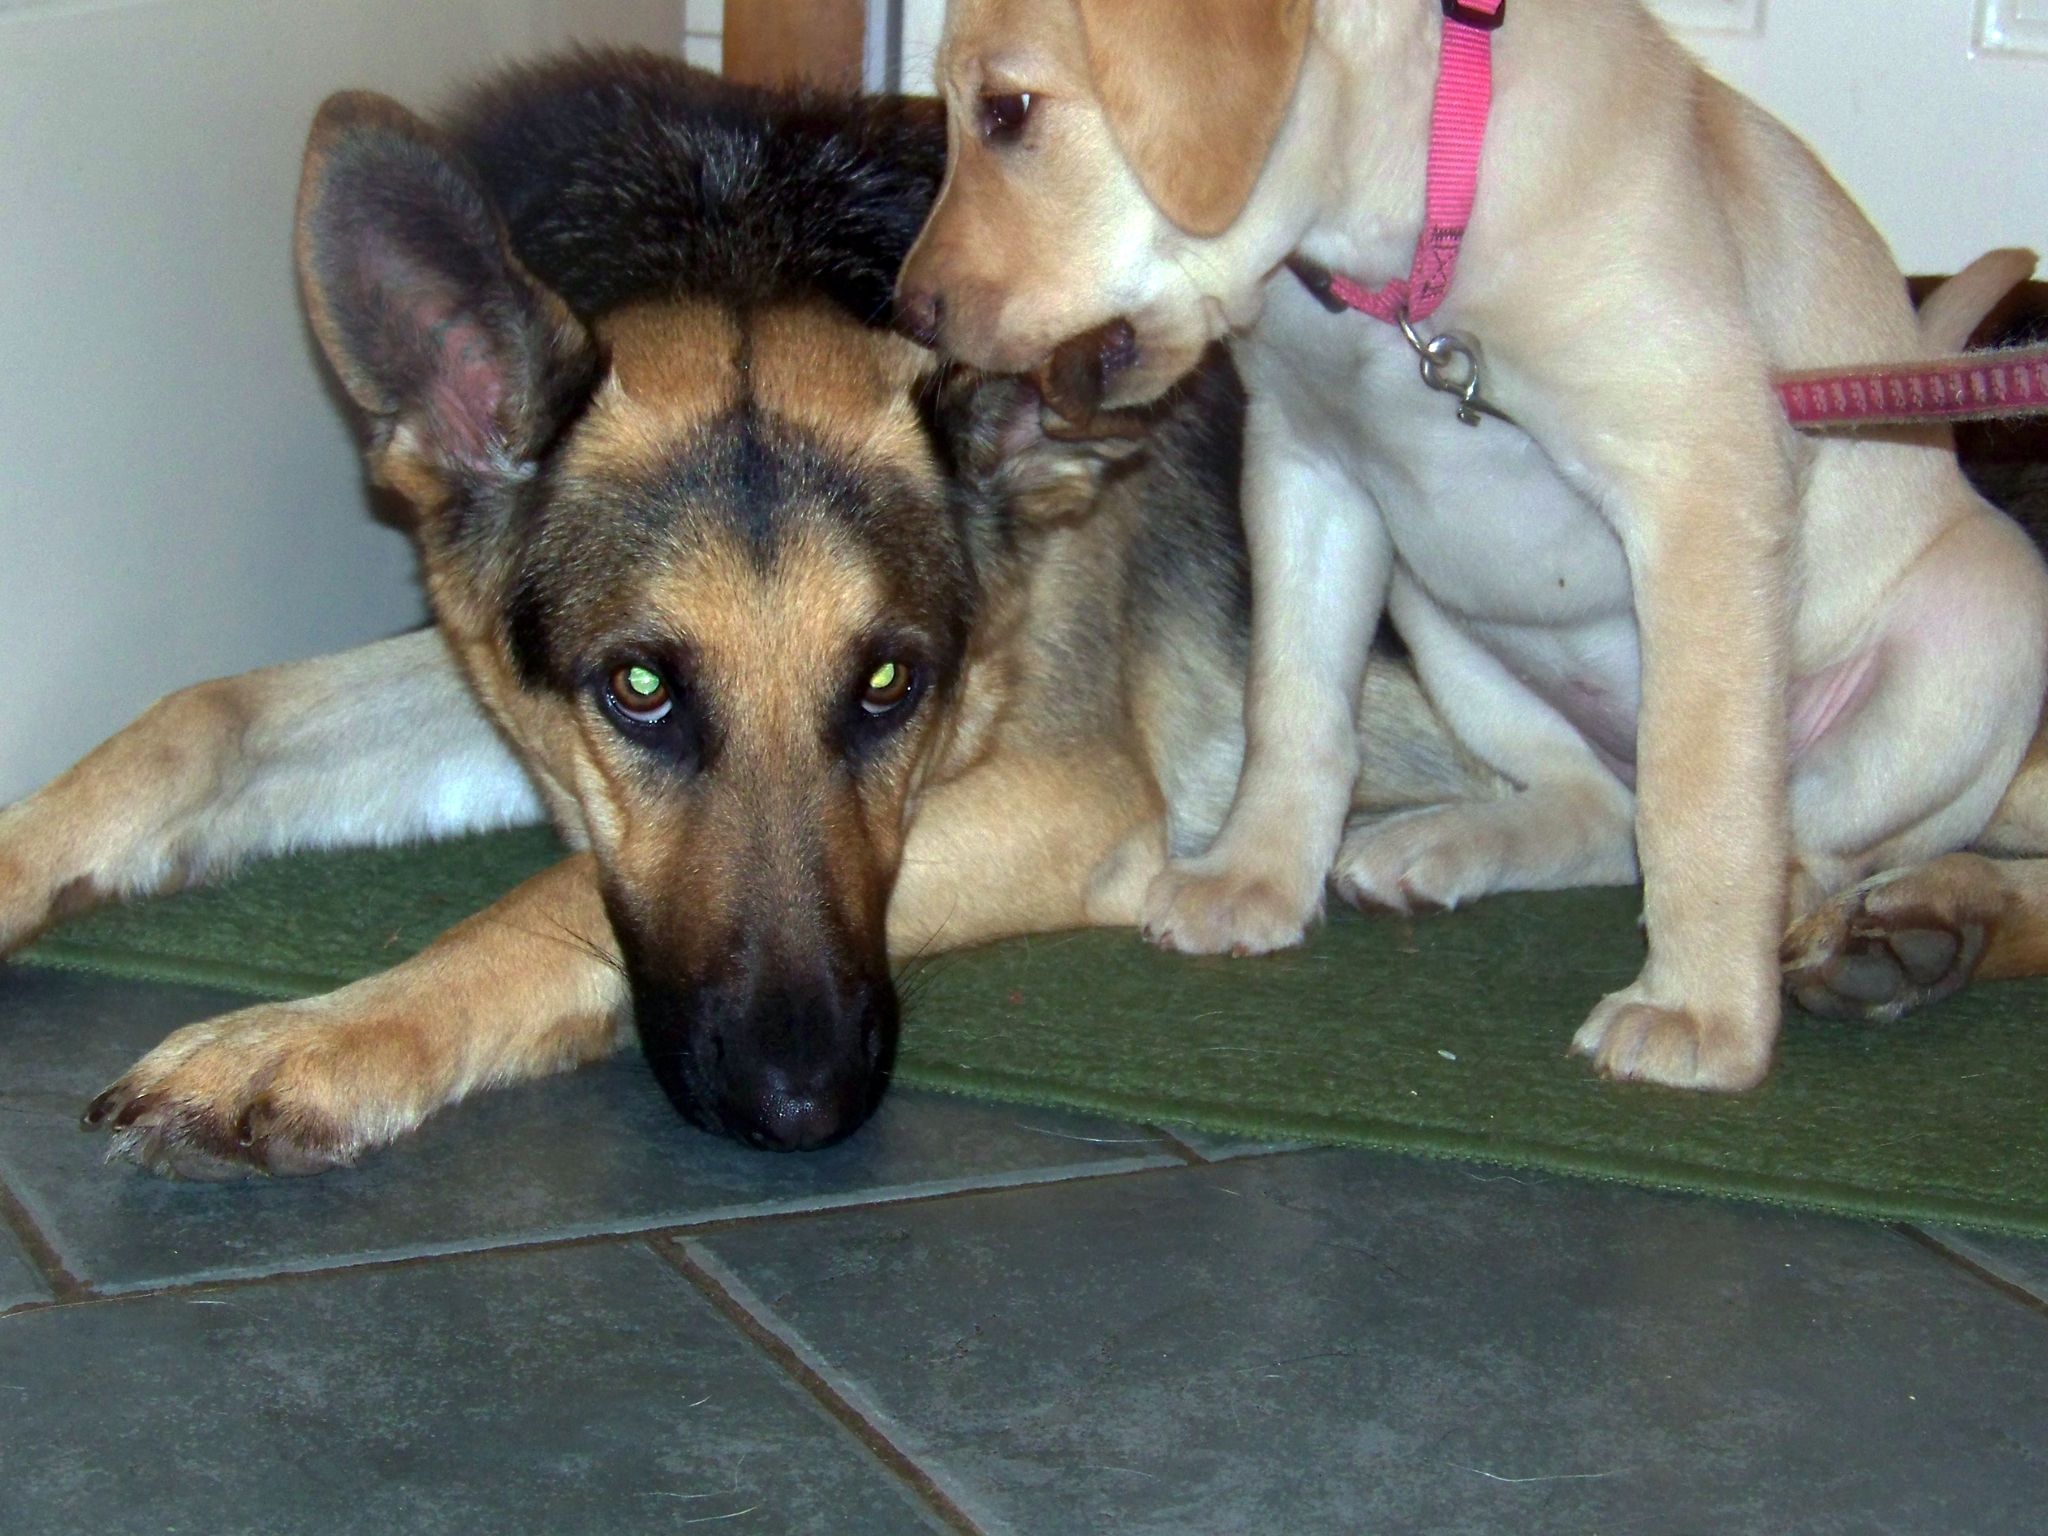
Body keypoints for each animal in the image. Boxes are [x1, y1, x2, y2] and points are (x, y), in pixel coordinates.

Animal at [0, 51, 1482, 1179]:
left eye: (889, 686)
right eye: (641, 691)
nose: (803, 1104)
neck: (750, 241)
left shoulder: (1072, 794)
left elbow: (551, 895)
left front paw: (321, 1036)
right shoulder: (511, 694)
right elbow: (204, 713)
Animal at [905, 0, 2048, 1097]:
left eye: (1007, 111)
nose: (910, 308)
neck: (1410, 254)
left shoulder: (1699, 485)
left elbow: (1705, 793)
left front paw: (1701, 1014)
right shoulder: (1305, 470)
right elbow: (1292, 707)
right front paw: (1253, 876)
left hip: (1982, 620)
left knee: (1803, 831)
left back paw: (1814, 918)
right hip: (1437, 615)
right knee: (1599, 811)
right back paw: (1438, 841)